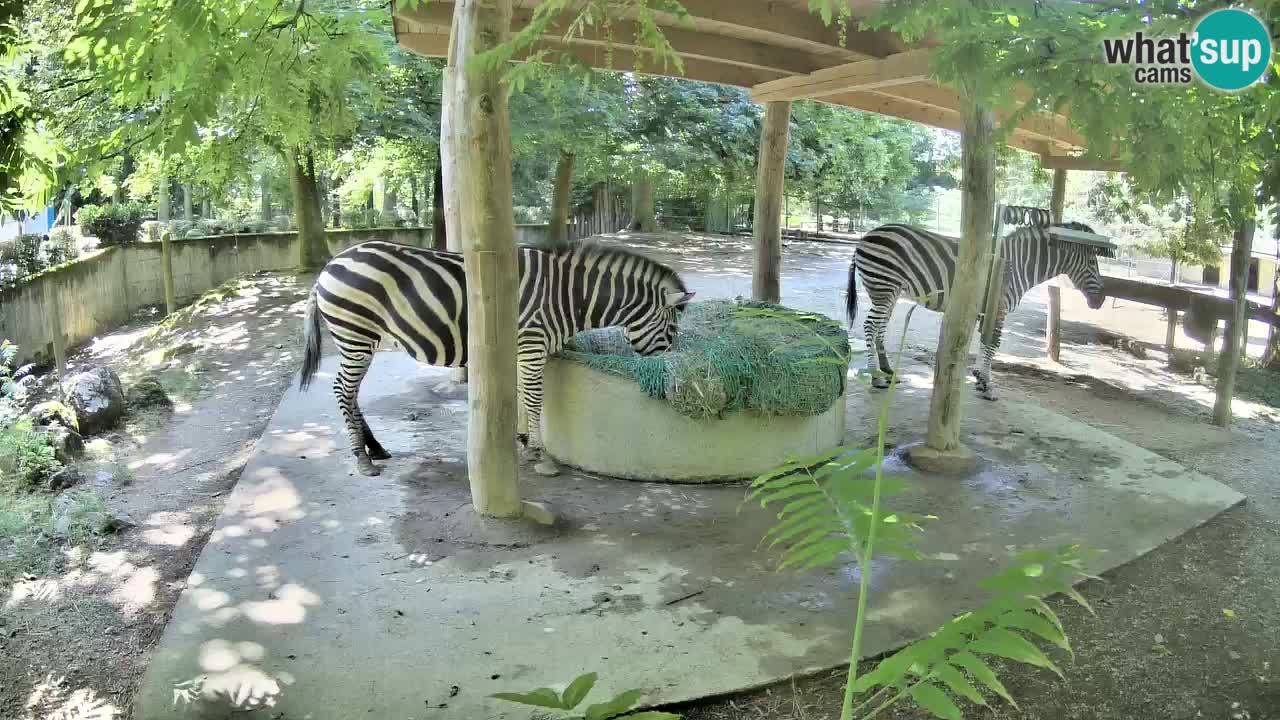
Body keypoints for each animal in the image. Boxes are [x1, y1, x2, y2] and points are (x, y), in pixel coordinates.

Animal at [298, 240, 694, 477]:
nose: (670, 377)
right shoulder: (532, 345)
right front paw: (540, 455)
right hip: (355, 334)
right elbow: (534, 399)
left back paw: (375, 448)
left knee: (351, 393)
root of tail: (329, 266)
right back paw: (362, 458)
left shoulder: (523, 350)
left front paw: (523, 440)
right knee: (342, 390)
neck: (568, 296)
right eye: (673, 330)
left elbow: (522, 396)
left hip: (361, 339)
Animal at [846, 221, 1106, 400]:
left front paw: (980, 378)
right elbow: (993, 343)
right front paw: (987, 384)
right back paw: (876, 376)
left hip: (888, 290)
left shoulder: (988, 310)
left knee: (880, 326)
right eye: (1092, 263)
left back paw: (888, 370)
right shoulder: (999, 307)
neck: (1019, 264)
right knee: (870, 325)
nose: (1101, 300)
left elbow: (985, 341)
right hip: (884, 285)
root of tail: (865, 237)